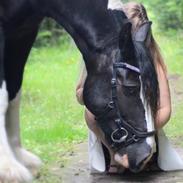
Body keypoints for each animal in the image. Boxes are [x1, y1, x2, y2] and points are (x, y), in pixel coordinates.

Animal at [0, 0, 158, 182]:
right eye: (130, 88)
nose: (145, 156)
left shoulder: (23, 33)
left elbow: (14, 91)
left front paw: (20, 159)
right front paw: (8, 168)